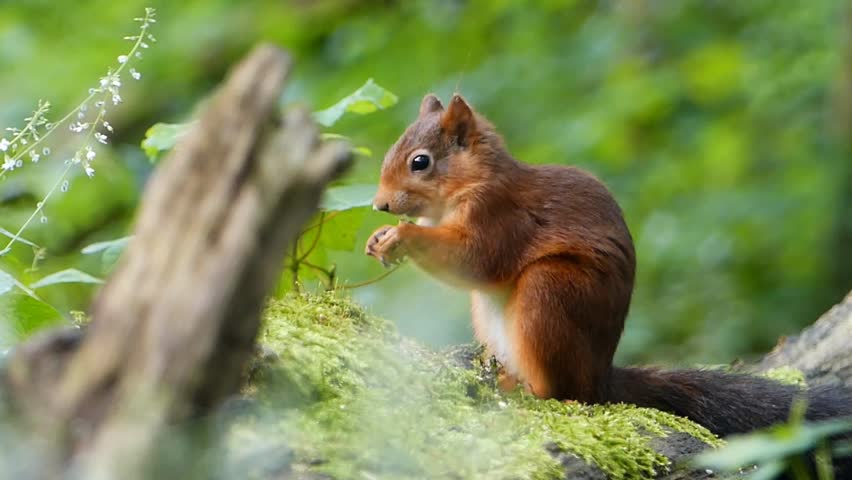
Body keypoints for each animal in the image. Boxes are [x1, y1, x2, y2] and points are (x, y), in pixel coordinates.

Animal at [364, 93, 852, 438]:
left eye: (421, 162)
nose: (380, 205)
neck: (469, 184)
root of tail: (602, 379)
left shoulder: (499, 216)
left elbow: (477, 261)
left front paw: (402, 236)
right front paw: (378, 238)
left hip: (551, 290)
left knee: (569, 394)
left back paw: (529, 390)